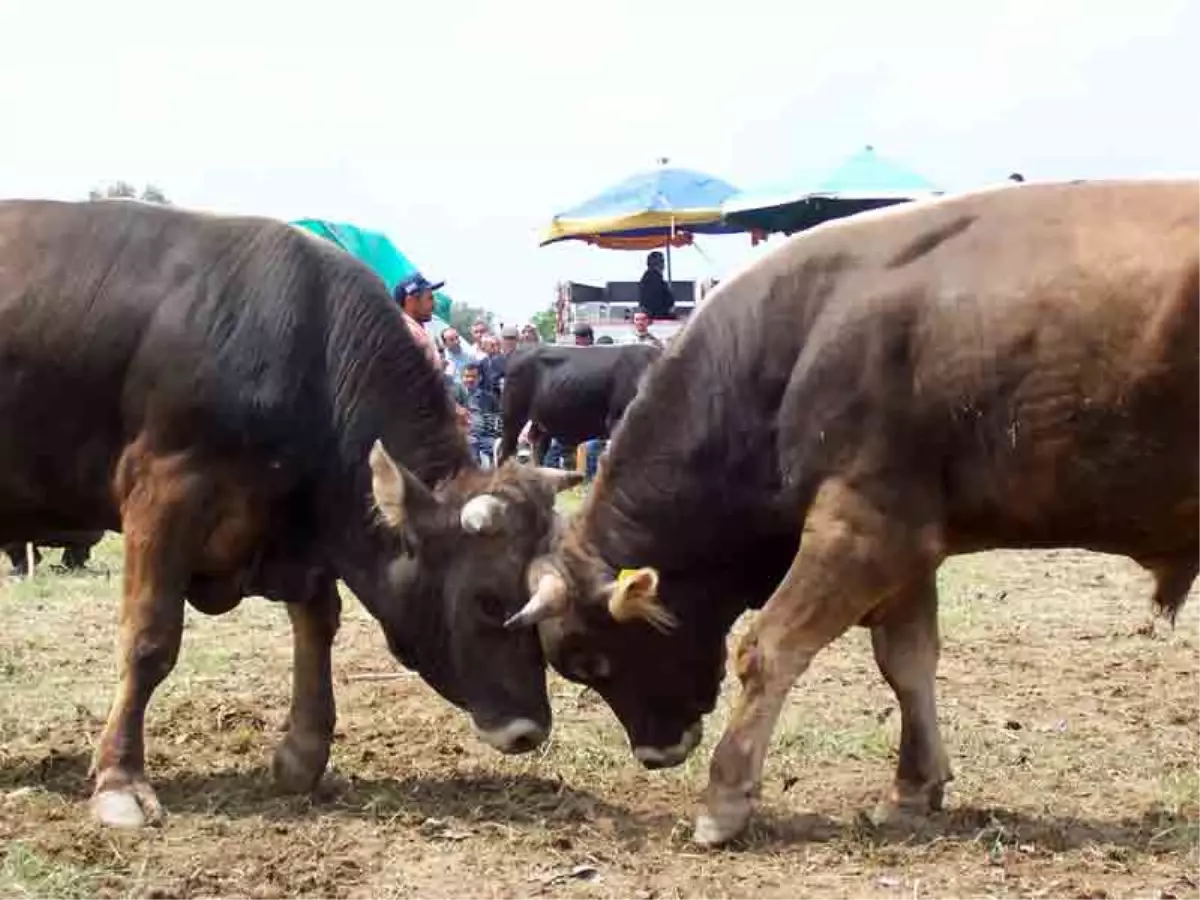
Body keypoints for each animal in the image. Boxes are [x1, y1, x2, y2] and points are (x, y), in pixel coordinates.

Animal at [0, 200, 580, 835]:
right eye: (488, 600)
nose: (530, 729)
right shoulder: (163, 491)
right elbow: (150, 639)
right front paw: (120, 780)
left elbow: (318, 622)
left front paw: (304, 753)